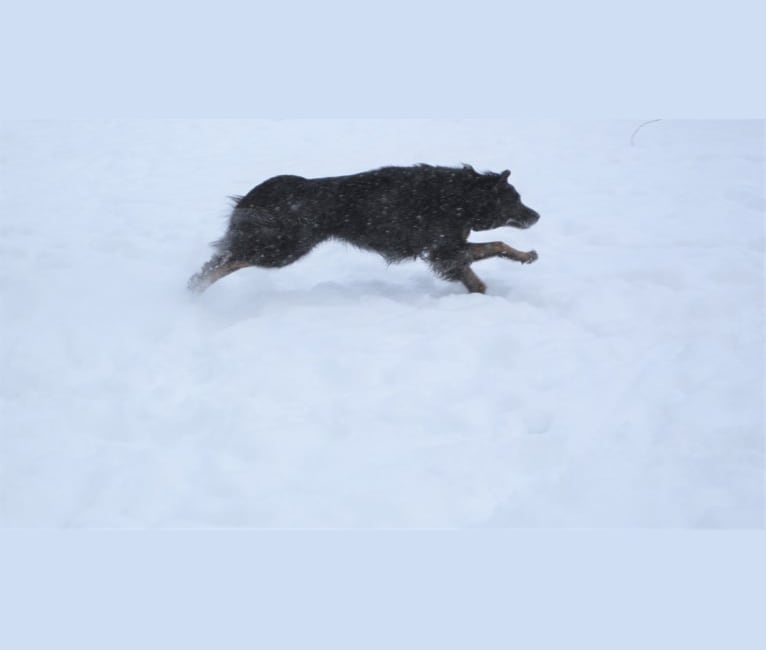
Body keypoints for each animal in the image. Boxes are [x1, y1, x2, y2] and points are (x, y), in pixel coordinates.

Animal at [189, 163, 544, 292]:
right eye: (515, 199)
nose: (537, 215)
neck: (460, 195)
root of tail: (258, 193)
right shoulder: (444, 248)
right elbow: (497, 244)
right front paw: (526, 255)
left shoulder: (447, 252)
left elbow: (475, 271)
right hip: (282, 249)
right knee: (225, 262)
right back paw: (197, 288)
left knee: (223, 258)